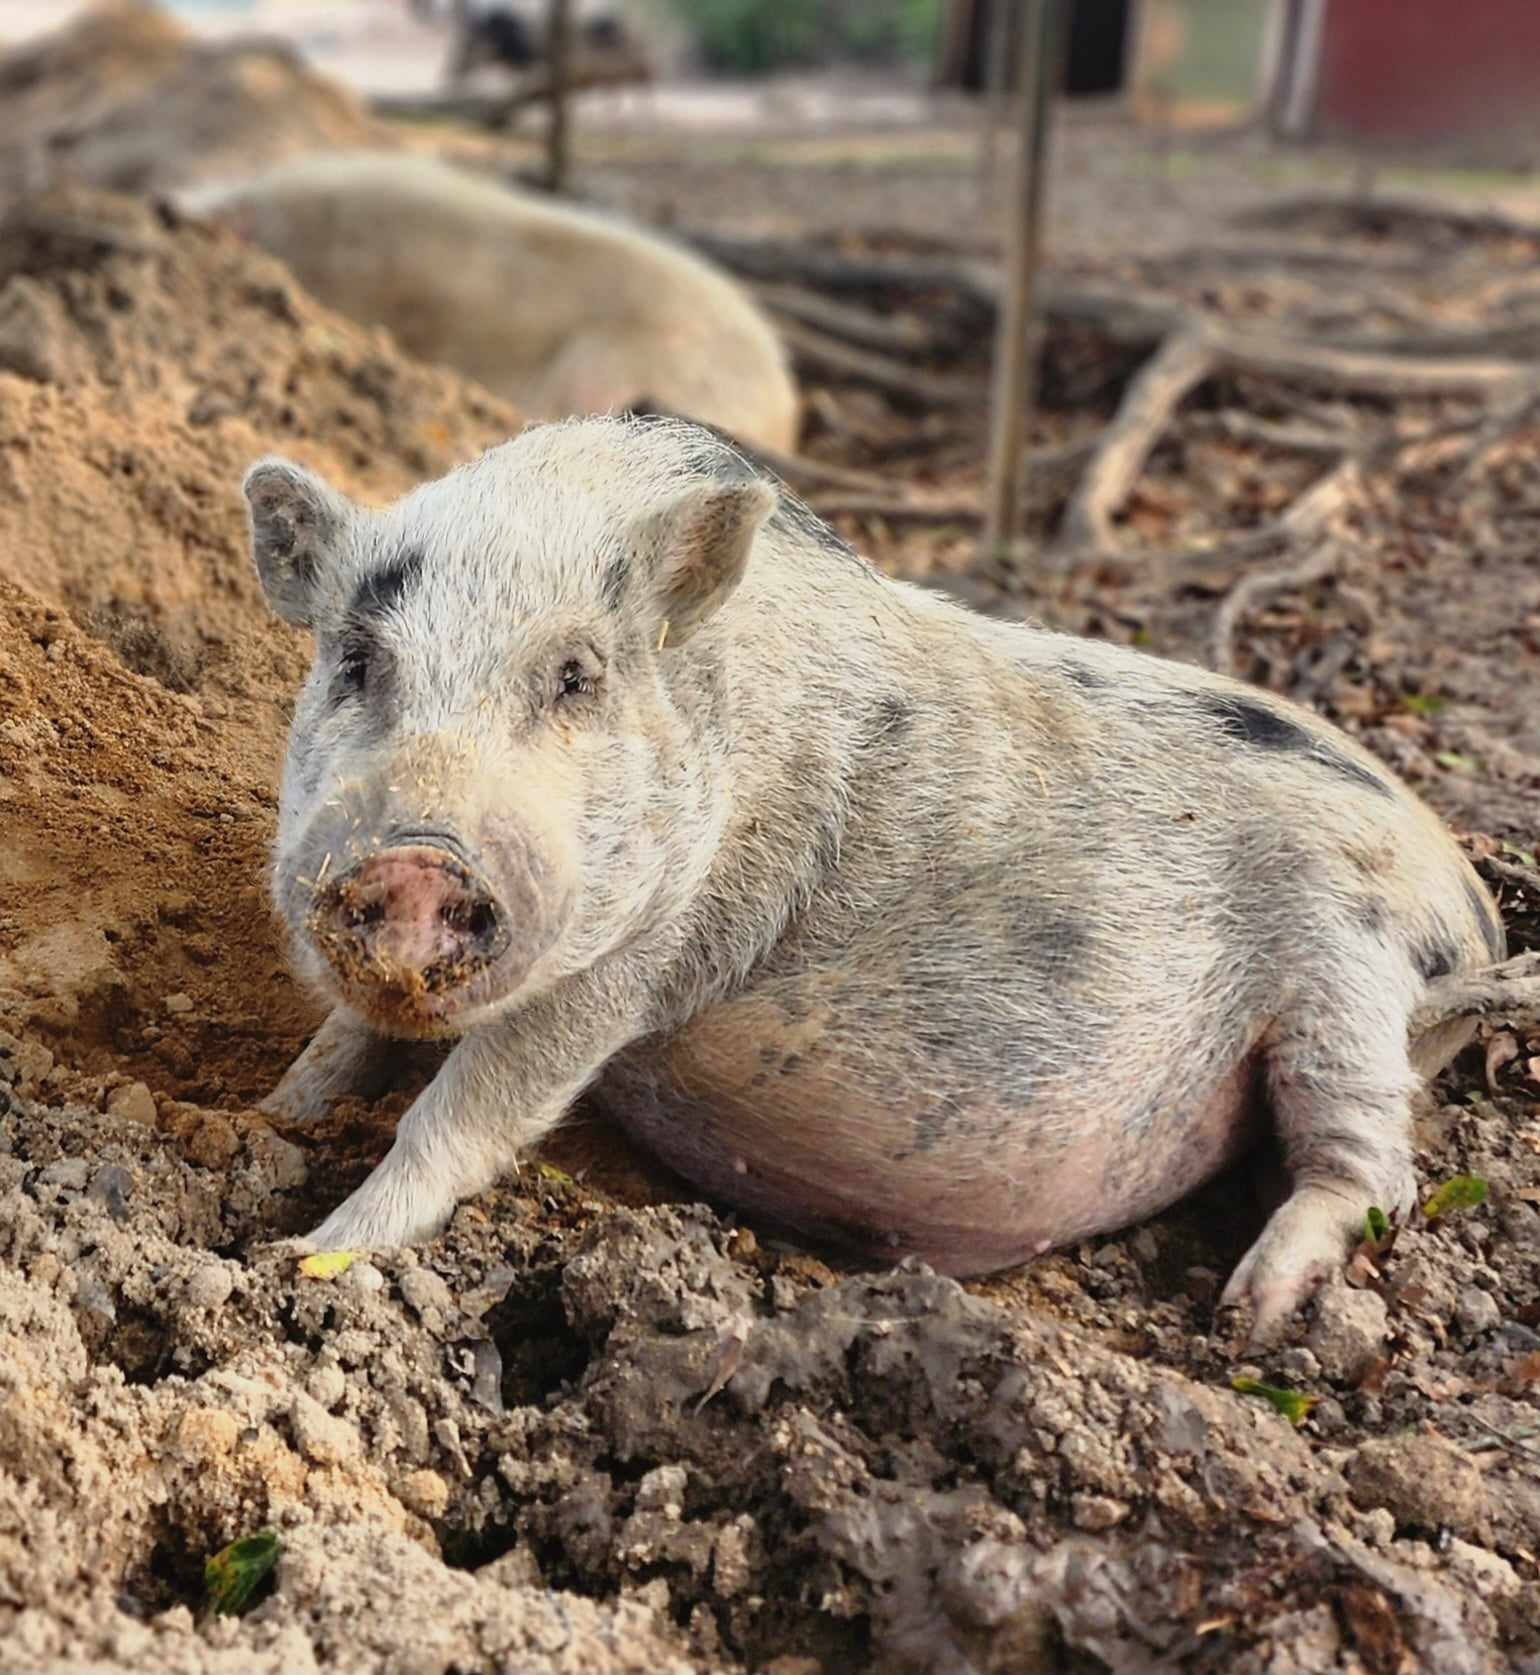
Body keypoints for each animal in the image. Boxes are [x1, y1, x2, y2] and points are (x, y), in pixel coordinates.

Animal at [246, 414, 1507, 1340]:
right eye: (354, 660)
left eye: (575, 675)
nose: (417, 857)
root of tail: (1473, 903)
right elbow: (344, 1043)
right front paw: (266, 1113)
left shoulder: (645, 949)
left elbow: (467, 1112)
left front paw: (303, 1253)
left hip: (1350, 980)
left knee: (1367, 1168)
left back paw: (1250, 1312)